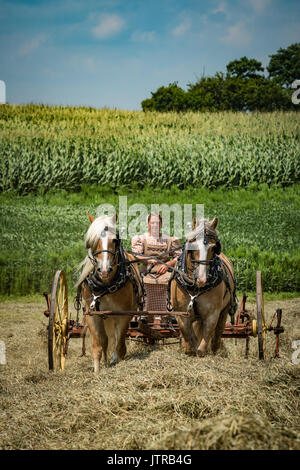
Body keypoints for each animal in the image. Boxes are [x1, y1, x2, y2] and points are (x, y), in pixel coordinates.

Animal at [77, 214, 144, 374]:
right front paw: (97, 372)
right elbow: (98, 346)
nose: (104, 270)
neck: (106, 286)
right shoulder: (92, 314)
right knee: (106, 340)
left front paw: (118, 363)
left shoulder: (123, 315)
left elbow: (119, 346)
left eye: (115, 240)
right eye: (92, 241)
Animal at [170, 218, 236, 358]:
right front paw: (189, 348)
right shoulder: (181, 312)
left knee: (218, 331)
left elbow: (203, 345)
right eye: (192, 246)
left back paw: (216, 349)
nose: (202, 280)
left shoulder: (212, 313)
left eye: (214, 247)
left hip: (225, 309)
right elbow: (187, 334)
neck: (195, 287)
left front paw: (201, 350)